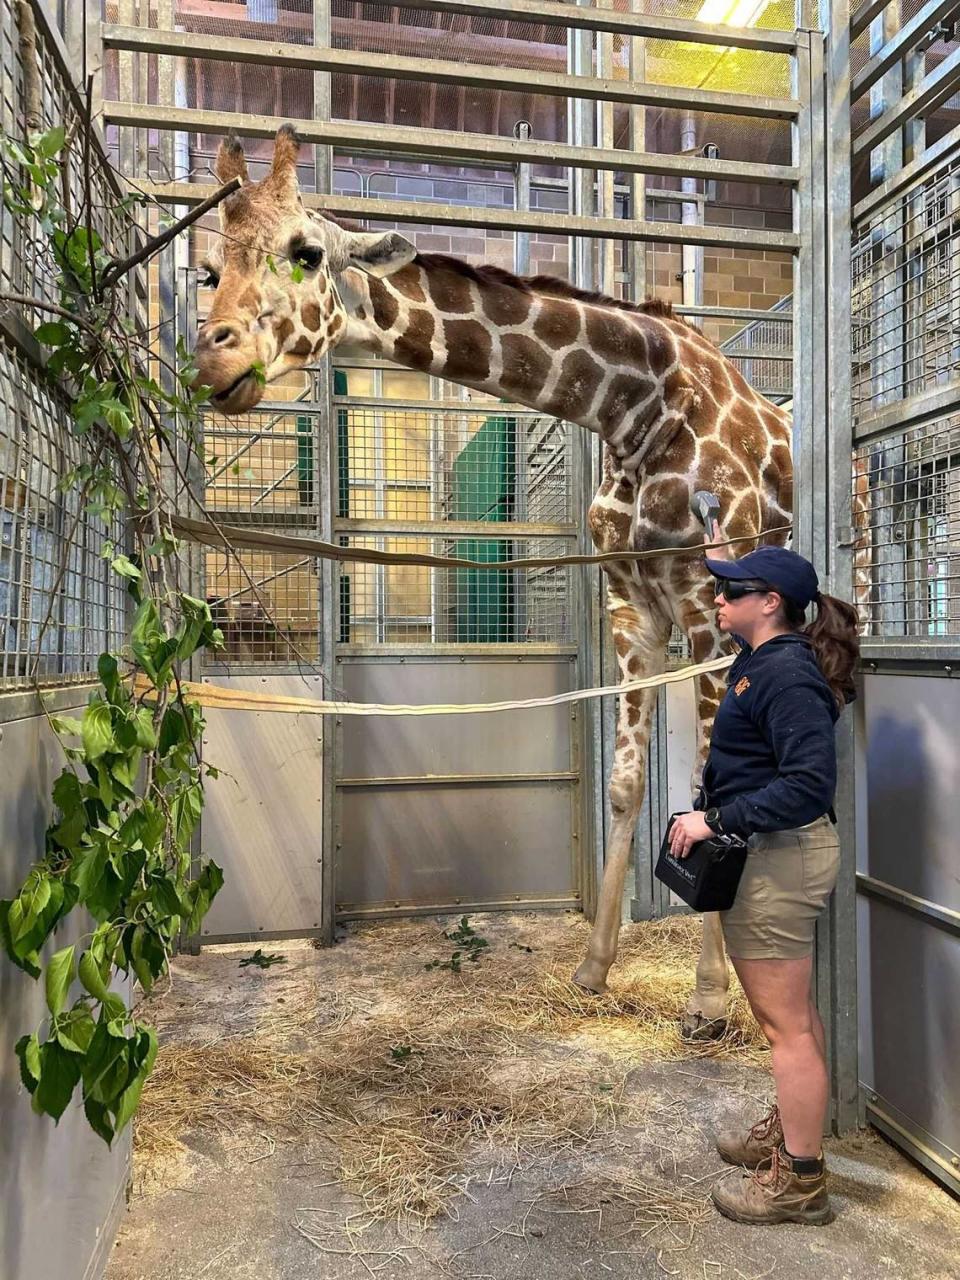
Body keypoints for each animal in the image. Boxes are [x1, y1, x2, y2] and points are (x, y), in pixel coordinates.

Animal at [197, 127, 798, 1029]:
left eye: (306, 252)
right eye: (209, 269)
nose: (213, 358)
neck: (634, 406)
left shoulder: (710, 608)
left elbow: (707, 786)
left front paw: (707, 996)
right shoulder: (633, 606)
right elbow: (625, 784)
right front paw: (594, 967)